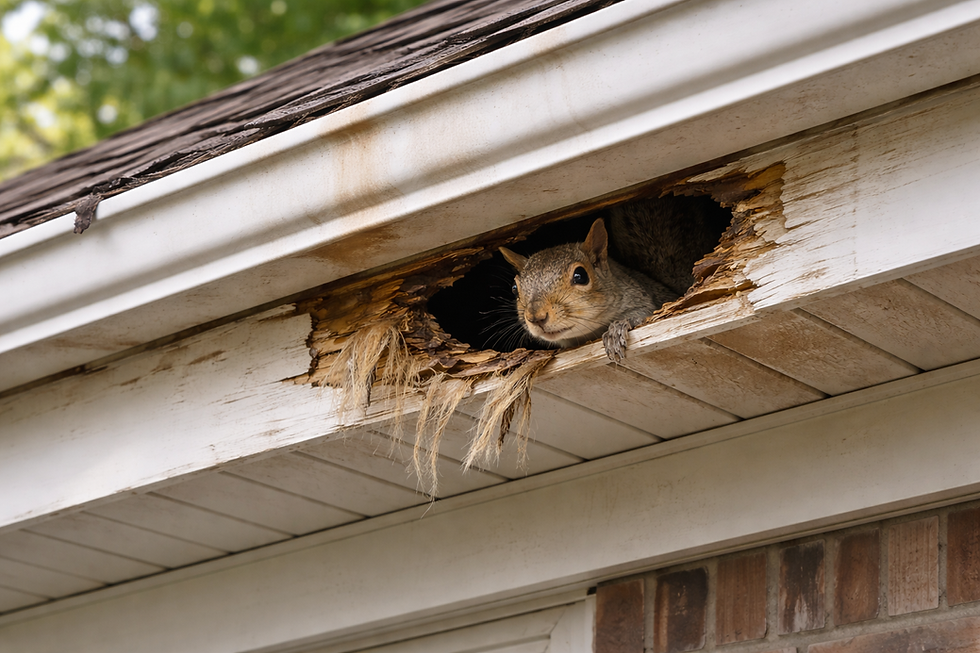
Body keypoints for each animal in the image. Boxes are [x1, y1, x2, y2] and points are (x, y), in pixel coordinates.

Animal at [499, 195, 725, 362]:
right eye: (514, 288)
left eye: (580, 276)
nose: (536, 317)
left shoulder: (645, 301)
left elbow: (641, 314)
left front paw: (616, 330)